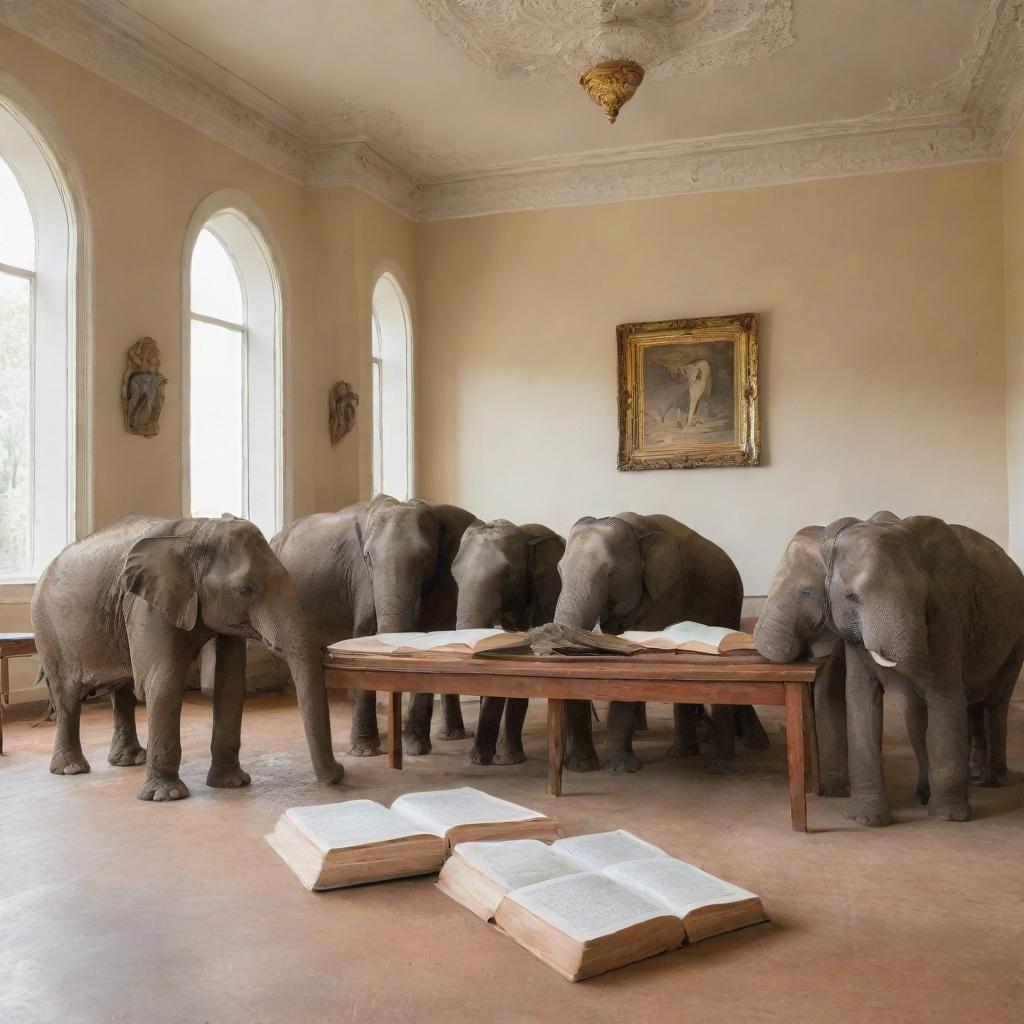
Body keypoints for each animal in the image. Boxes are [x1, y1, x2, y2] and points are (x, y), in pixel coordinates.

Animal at [30, 516, 344, 802]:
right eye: (246, 590)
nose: (339, 773)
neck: (200, 531)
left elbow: (230, 682)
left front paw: (232, 784)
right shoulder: (145, 604)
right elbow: (164, 679)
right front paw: (166, 796)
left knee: (122, 691)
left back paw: (129, 761)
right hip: (47, 630)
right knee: (67, 695)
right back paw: (71, 769)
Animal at [272, 495, 479, 761]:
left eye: (425, 558)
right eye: (368, 557)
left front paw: (414, 747)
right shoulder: (361, 578)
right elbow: (365, 635)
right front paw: (365, 751)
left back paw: (450, 736)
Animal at [557, 516, 765, 770]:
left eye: (611, 574)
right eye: (559, 570)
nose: (578, 765)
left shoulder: (668, 592)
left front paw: (619, 769)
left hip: (729, 606)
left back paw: (735, 754)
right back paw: (684, 753)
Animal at [823, 520, 1024, 823]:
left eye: (923, 596)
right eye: (852, 597)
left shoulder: (948, 615)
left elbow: (945, 697)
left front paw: (949, 818)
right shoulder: (852, 636)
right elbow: (862, 702)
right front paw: (868, 821)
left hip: (1017, 636)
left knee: (995, 702)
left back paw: (995, 781)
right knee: (969, 705)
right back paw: (973, 778)